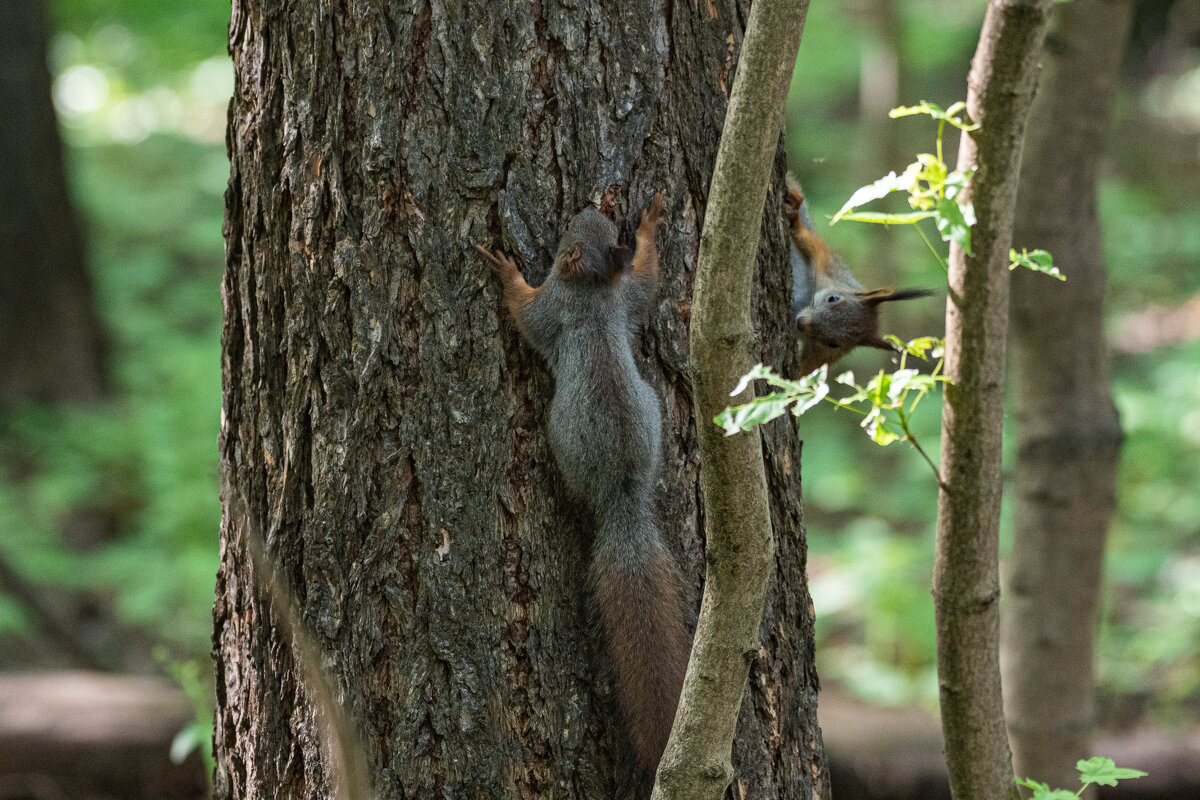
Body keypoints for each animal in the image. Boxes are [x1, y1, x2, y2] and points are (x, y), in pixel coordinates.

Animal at [472, 194, 691, 777]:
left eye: (572, 234)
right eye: (592, 226)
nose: (588, 206)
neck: (592, 291)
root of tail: (623, 498)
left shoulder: (551, 310)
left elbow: (524, 312)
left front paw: (505, 269)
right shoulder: (625, 298)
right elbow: (647, 280)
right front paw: (649, 225)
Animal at [782, 181, 931, 376]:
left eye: (833, 343)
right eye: (833, 298)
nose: (801, 323)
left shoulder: (824, 356)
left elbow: (801, 375)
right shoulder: (829, 269)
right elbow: (813, 244)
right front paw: (794, 215)